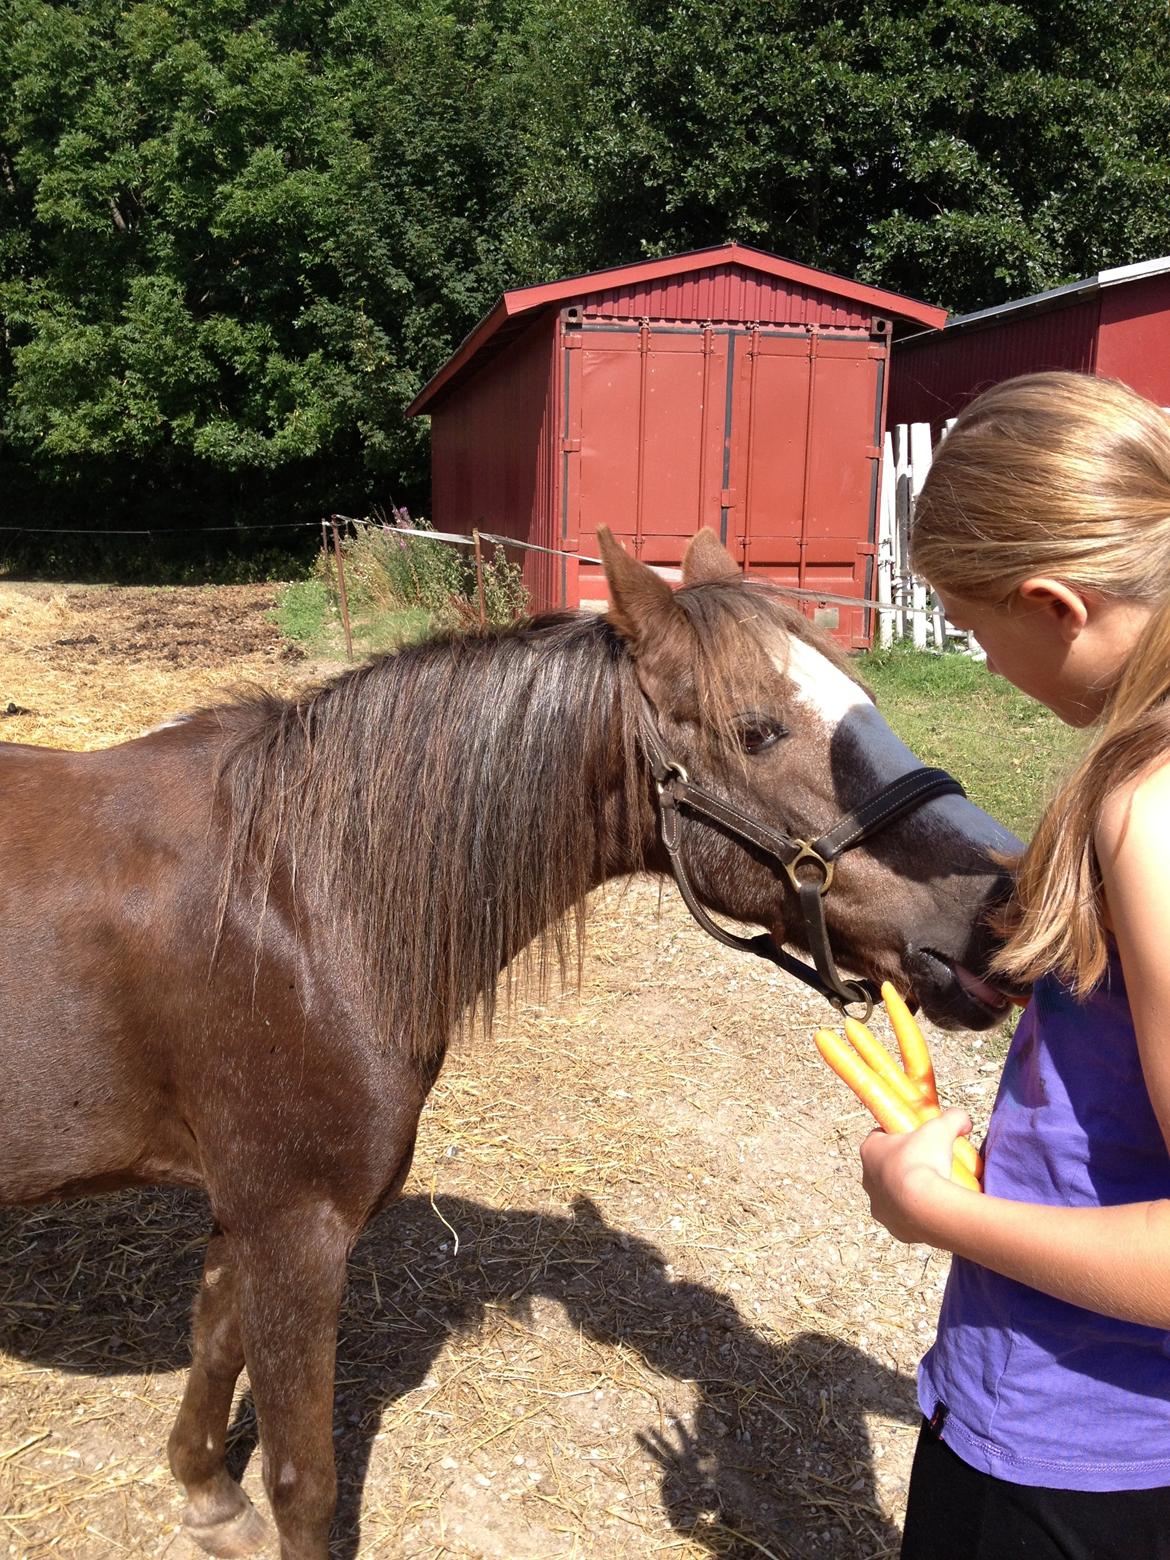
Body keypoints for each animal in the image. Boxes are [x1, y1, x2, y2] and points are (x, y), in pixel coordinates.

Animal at [0, 530, 1017, 1553]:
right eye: (759, 729)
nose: (1001, 908)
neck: (303, 893)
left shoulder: (245, 1210)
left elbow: (214, 1347)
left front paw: (208, 1494)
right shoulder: (295, 1225)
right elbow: (303, 1480)